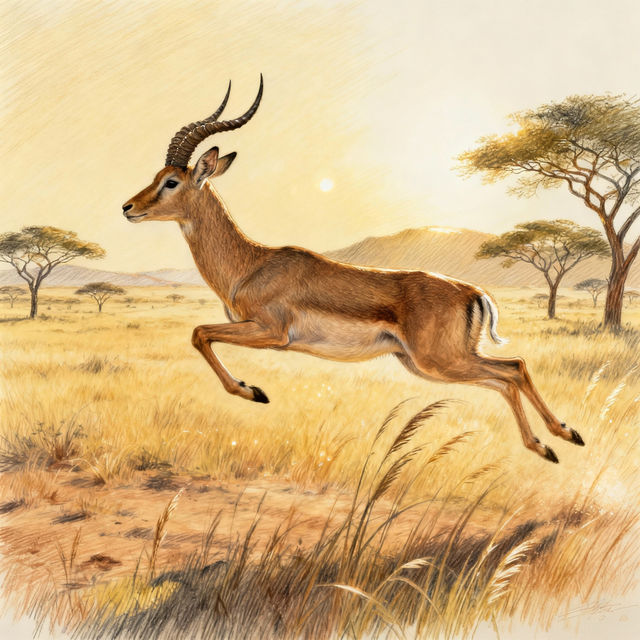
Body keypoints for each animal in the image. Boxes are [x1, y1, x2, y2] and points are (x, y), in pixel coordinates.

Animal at [122, 76, 585, 463]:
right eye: (157, 175)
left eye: (171, 182)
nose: (127, 207)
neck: (250, 264)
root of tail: (474, 293)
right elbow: (201, 334)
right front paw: (253, 390)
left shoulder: (271, 332)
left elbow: (199, 333)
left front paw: (253, 392)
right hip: (428, 364)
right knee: (506, 376)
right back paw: (554, 442)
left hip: (439, 361)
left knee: (514, 368)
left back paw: (560, 438)